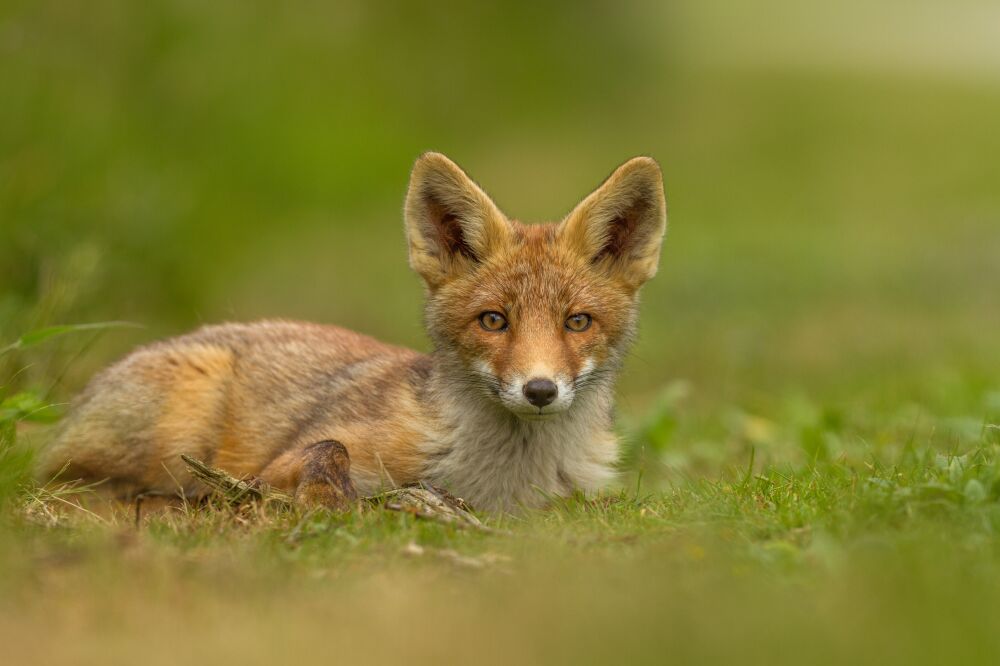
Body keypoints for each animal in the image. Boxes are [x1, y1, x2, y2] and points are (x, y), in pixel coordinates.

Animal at [39, 153, 668, 510]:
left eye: (577, 322)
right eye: (494, 320)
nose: (540, 390)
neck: (498, 481)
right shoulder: (279, 461)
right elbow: (328, 449)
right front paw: (325, 501)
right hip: (182, 418)